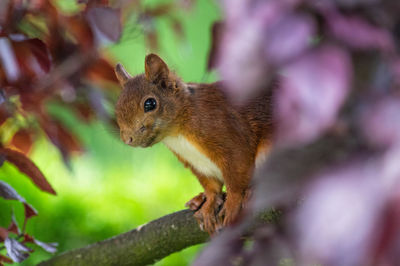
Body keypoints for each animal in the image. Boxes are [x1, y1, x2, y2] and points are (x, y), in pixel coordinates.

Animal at [114, 54, 274, 235]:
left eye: (150, 104)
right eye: (118, 106)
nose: (128, 139)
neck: (177, 135)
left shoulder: (229, 139)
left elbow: (237, 177)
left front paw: (233, 203)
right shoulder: (197, 164)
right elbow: (211, 186)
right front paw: (209, 203)